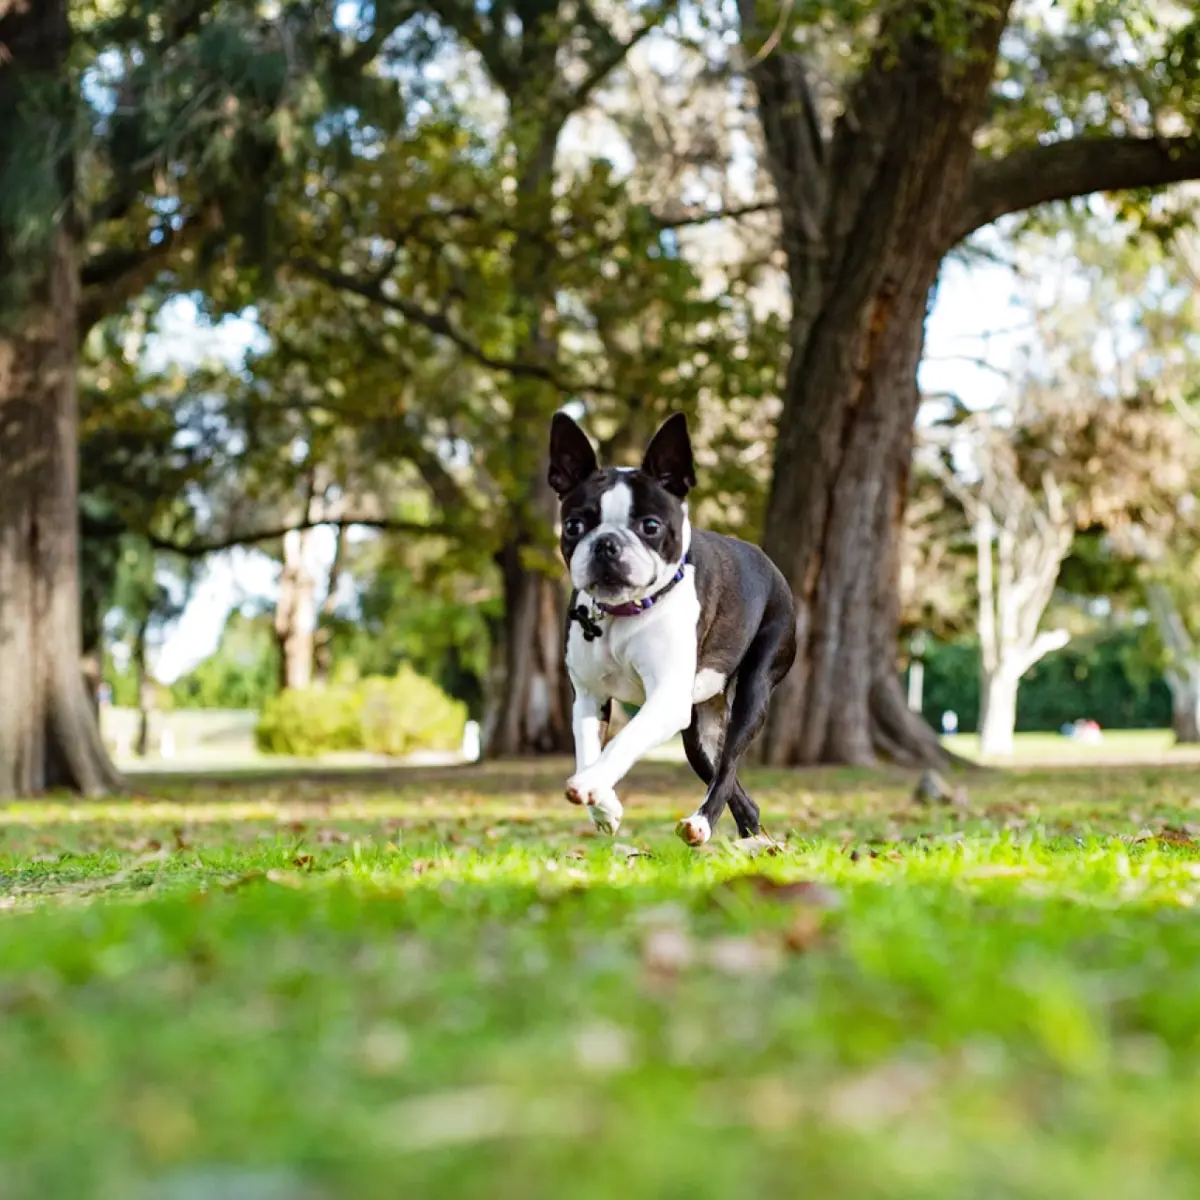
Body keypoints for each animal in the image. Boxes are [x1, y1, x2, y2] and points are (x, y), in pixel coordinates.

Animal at [549, 412, 796, 844]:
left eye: (650, 526)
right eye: (574, 526)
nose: (606, 544)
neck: (622, 613)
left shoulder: (664, 699)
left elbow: (624, 740)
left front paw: (591, 783)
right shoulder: (589, 696)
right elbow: (587, 748)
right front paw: (605, 805)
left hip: (753, 691)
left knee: (727, 768)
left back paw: (702, 822)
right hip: (697, 730)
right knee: (729, 781)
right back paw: (752, 840)